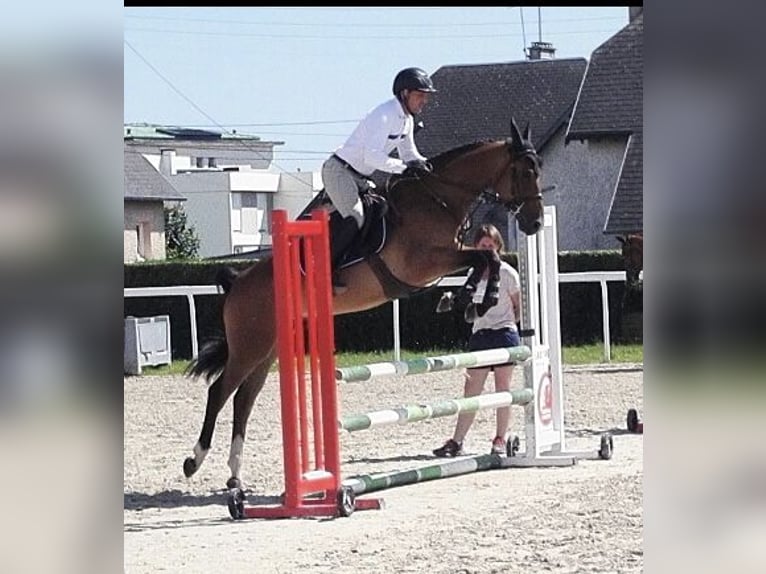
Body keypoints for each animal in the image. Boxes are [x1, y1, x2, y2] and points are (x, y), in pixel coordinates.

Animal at [184, 118, 544, 490]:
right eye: (525, 171)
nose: (535, 223)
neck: (438, 198)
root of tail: (238, 282)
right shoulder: (424, 263)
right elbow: (486, 256)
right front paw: (479, 299)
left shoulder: (445, 260)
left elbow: (485, 260)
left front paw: (470, 300)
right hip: (249, 346)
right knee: (220, 391)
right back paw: (194, 461)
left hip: (267, 349)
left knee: (244, 399)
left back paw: (235, 476)